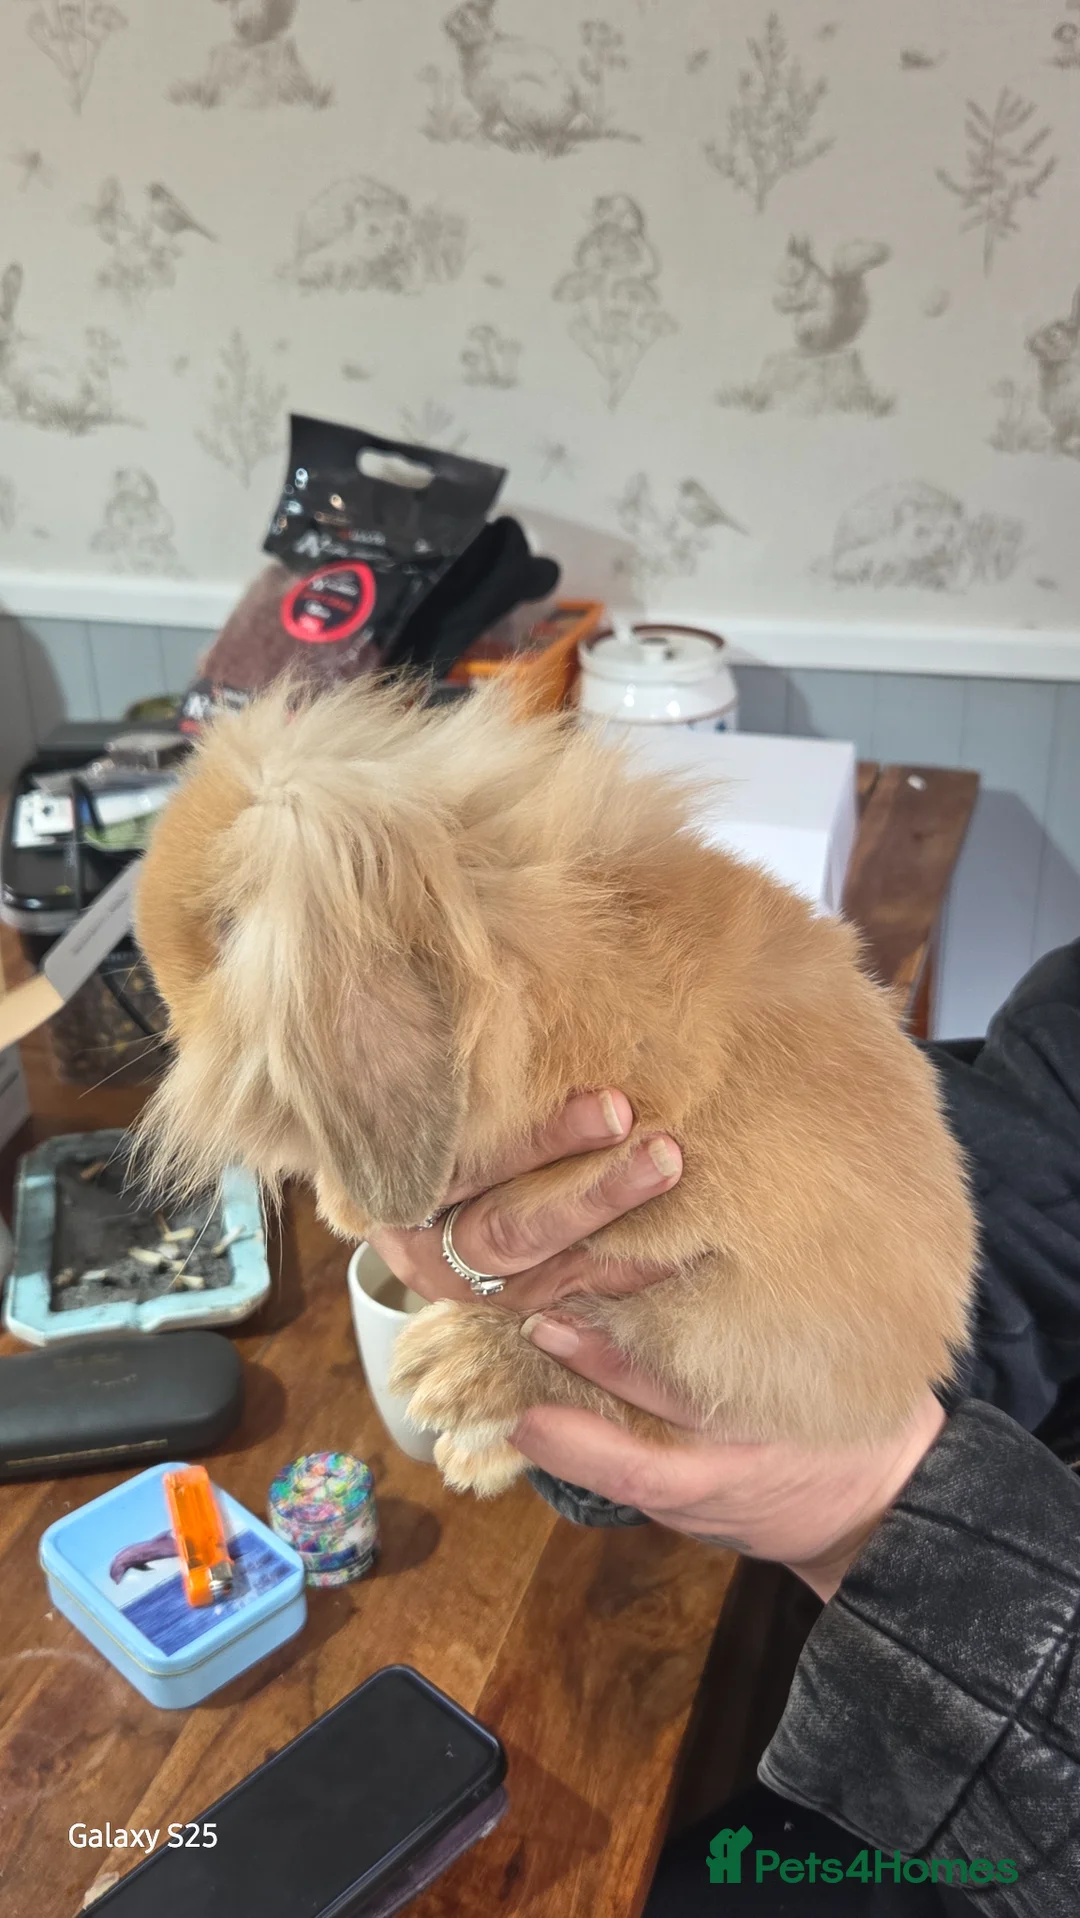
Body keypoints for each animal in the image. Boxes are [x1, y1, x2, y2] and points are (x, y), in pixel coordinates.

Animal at [444, 0, 587, 148]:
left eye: (463, 18)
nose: (445, 25)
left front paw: (481, 133)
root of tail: (570, 116)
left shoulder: (489, 98)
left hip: (518, 97)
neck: (482, 41)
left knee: (535, 134)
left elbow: (488, 119)